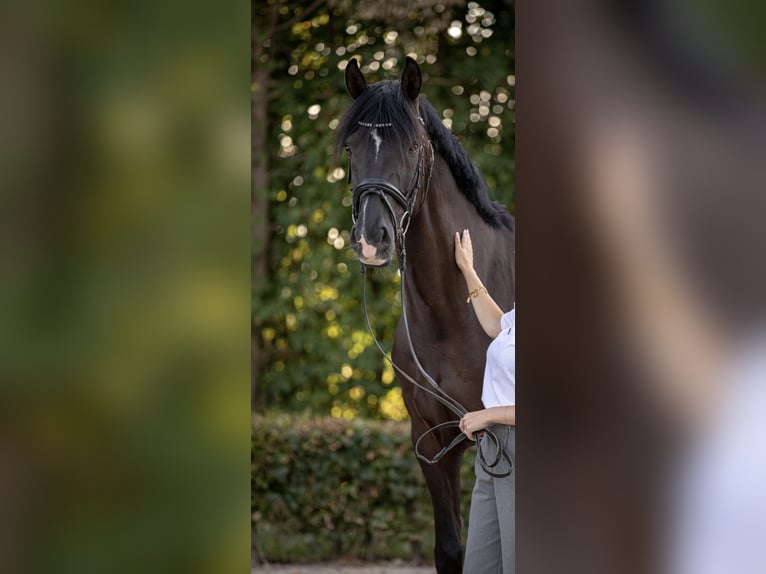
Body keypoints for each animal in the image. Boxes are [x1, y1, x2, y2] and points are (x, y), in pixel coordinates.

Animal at [336, 56, 515, 573]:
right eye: (351, 148)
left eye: (413, 146)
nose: (371, 240)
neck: (448, 313)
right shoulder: (434, 440)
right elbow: (452, 548)